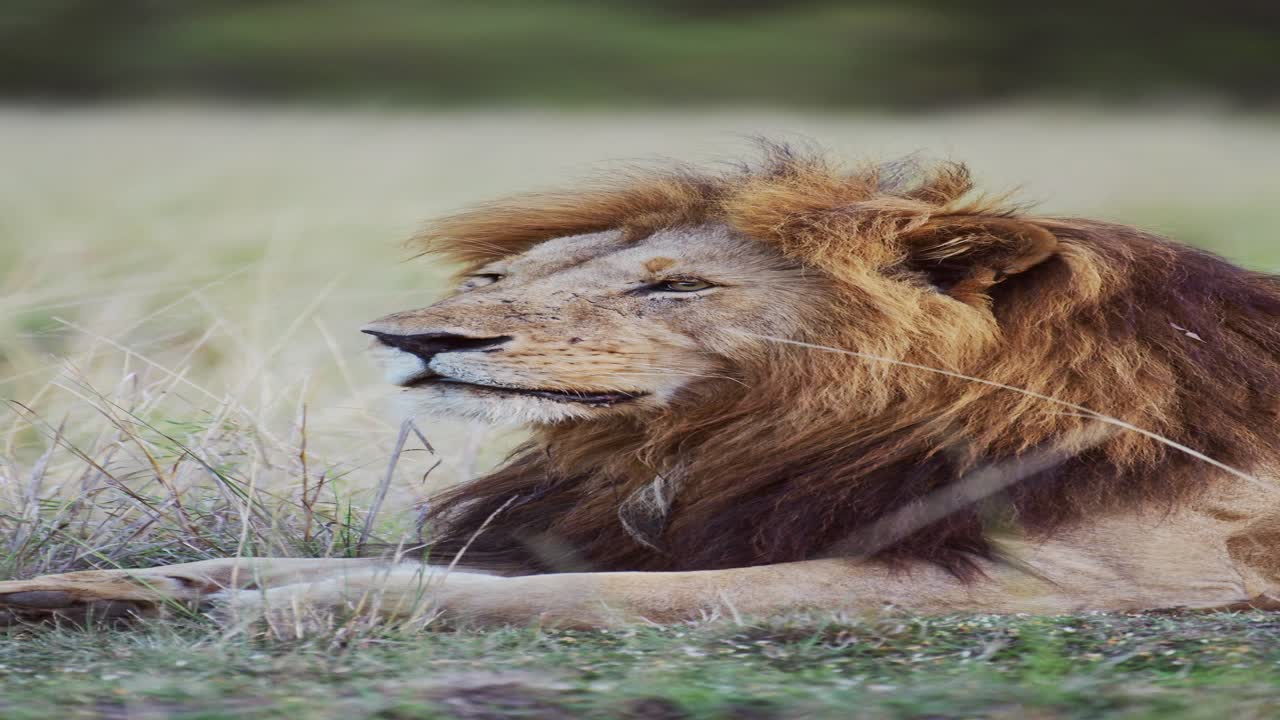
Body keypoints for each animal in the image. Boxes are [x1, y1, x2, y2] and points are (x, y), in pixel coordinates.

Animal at [4, 146, 1280, 630]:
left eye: (671, 287)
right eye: (504, 276)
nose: (409, 339)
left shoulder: (1072, 584)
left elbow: (600, 594)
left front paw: (311, 606)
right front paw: (95, 587)